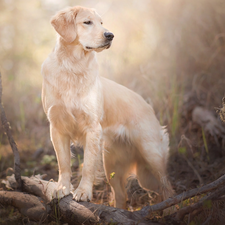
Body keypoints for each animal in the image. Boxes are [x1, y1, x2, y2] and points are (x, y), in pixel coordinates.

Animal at [40, 5, 174, 209]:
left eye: (102, 22)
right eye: (87, 22)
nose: (110, 35)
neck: (73, 67)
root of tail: (148, 106)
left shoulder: (92, 128)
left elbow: (87, 165)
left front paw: (83, 192)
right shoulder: (57, 128)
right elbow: (63, 163)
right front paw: (62, 188)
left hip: (152, 156)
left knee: (168, 188)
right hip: (114, 165)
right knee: (121, 196)